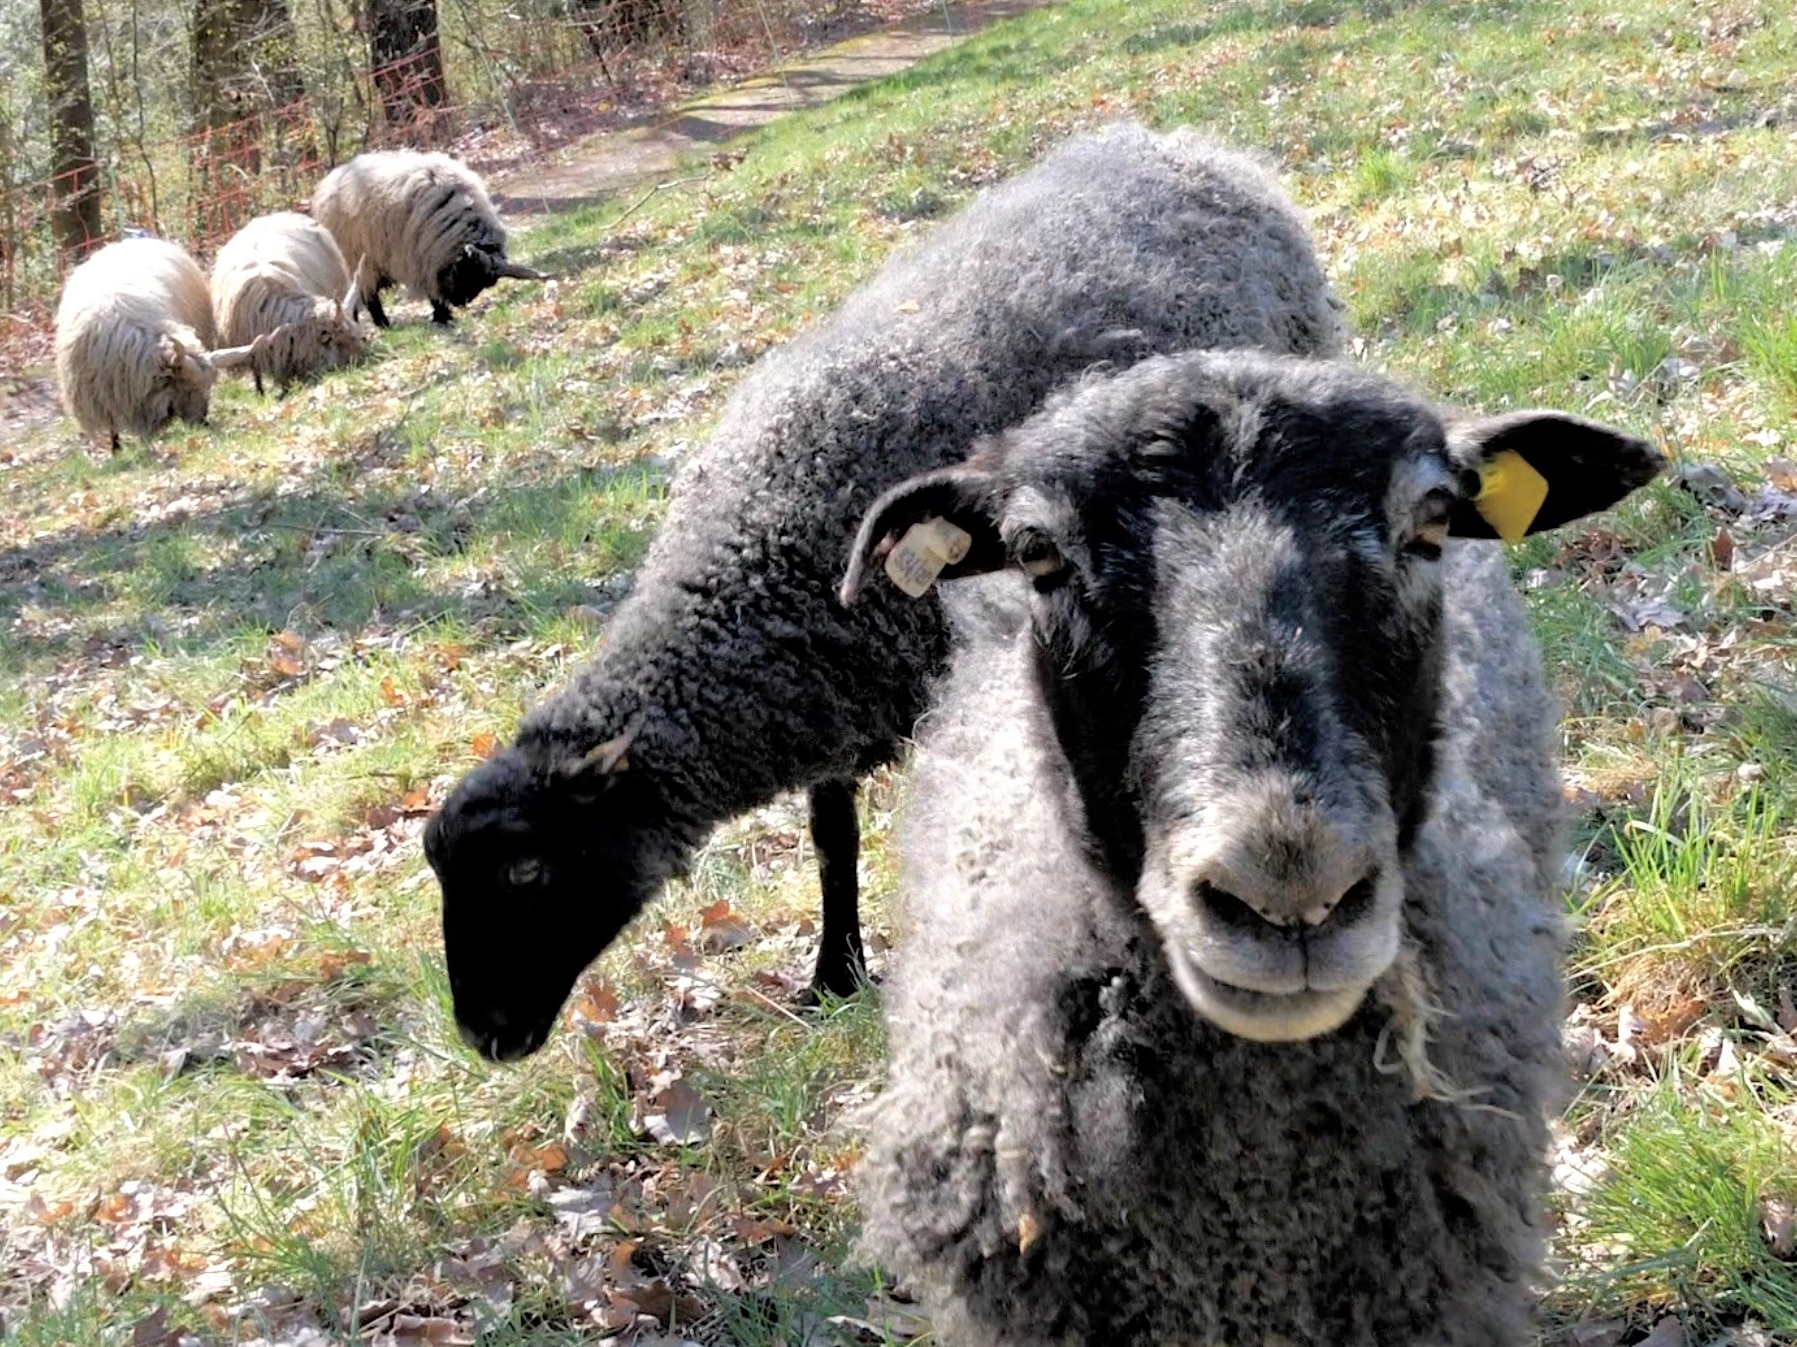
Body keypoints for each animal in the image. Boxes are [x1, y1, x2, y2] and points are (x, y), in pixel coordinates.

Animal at [53, 236, 264, 453]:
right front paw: (116, 450)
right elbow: (113, 427)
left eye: (207, 386)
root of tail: (130, 240)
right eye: (187, 387)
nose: (202, 422)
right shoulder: (102, 392)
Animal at [310, 150, 545, 328]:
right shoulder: (422, 258)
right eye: (468, 274)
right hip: (358, 260)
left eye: (483, 283)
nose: (461, 302)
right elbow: (432, 289)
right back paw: (380, 323)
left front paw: (443, 315)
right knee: (366, 293)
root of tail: (331, 179)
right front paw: (442, 316)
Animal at [424, 122, 1348, 1063]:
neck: (760, 565)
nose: (484, 1037)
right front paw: (835, 969)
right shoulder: (831, 695)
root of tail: (1193, 148)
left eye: (527, 868)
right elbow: (832, 841)